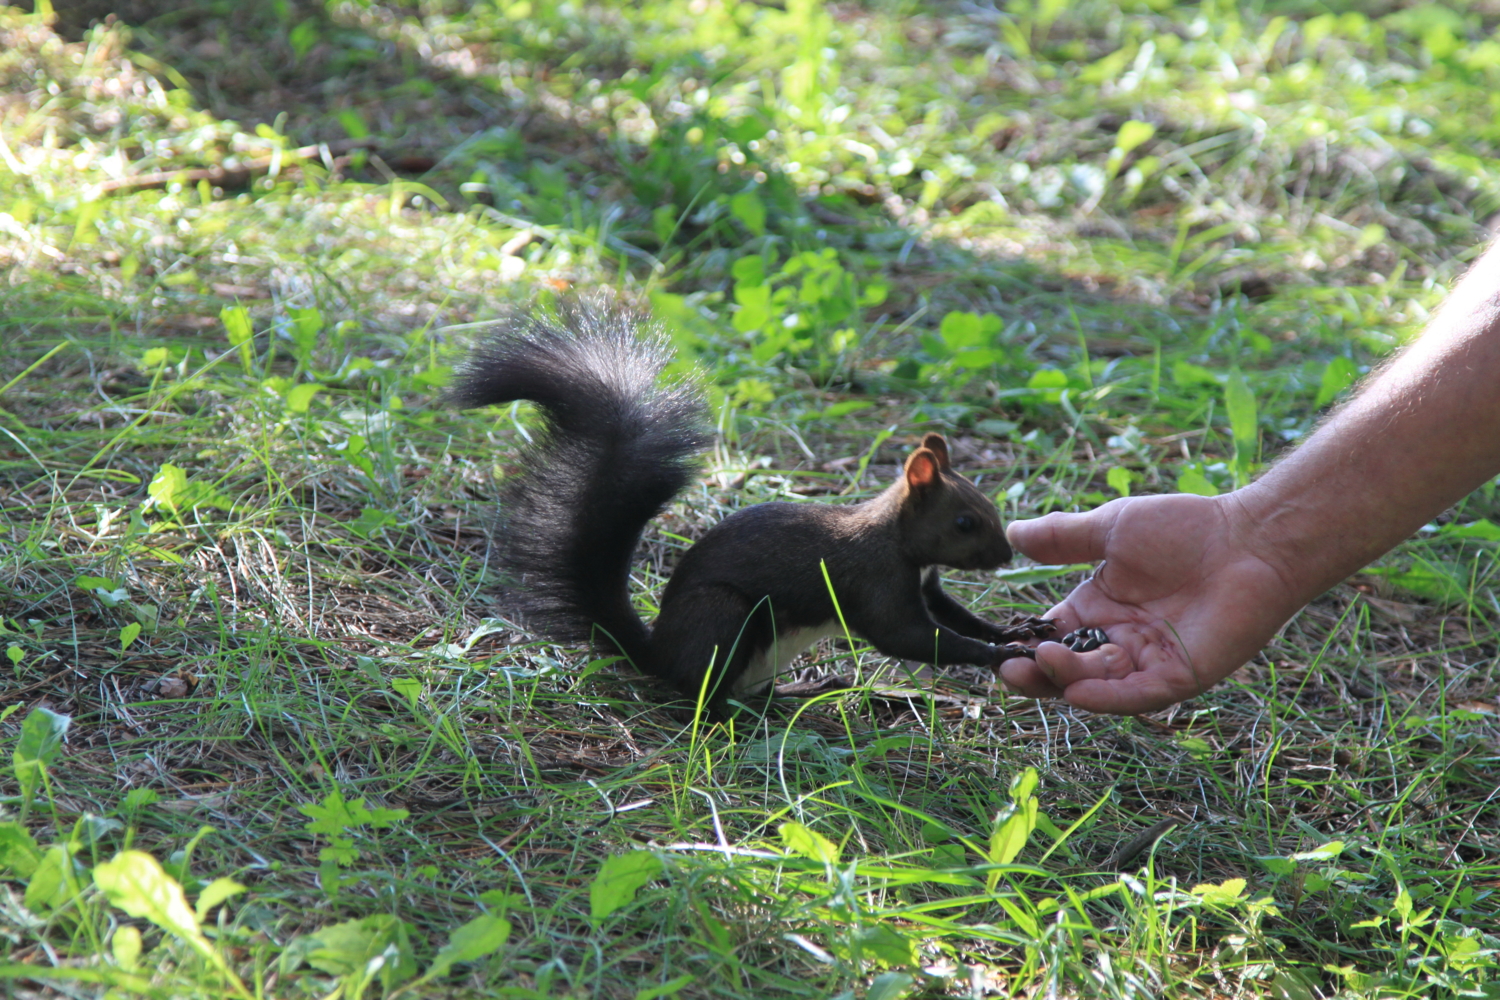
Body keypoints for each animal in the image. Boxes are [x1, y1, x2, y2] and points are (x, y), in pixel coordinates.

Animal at [447, 302, 1056, 710]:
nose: (1006, 556)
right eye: (965, 521)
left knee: (748, 691)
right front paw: (997, 656)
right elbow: (907, 636)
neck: (898, 540)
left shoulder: (927, 583)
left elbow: (955, 616)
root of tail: (658, 654)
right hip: (724, 618)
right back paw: (740, 710)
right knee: (704, 693)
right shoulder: (875, 581)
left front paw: (1014, 630)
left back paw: (799, 691)